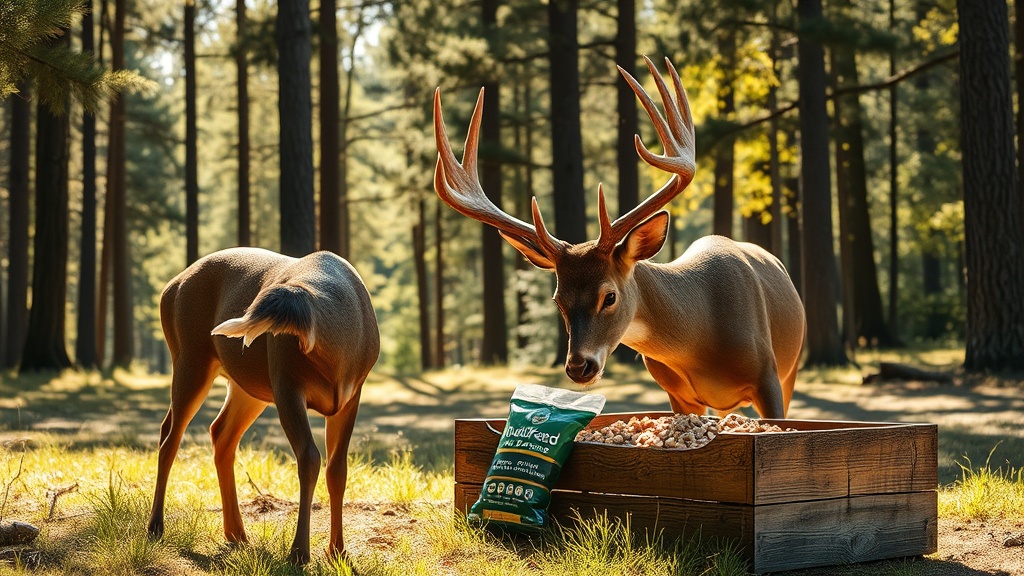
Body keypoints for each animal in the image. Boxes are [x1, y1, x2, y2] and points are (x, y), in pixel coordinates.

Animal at [146, 247, 380, 564]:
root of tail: (170, 287)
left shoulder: (351, 395)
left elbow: (337, 469)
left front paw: (338, 552)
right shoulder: (286, 384)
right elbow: (309, 458)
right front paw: (299, 552)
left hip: (249, 387)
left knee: (218, 433)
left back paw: (236, 533)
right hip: (190, 357)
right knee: (171, 436)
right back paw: (156, 527)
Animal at [433, 56, 804, 419]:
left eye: (609, 297)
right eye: (558, 300)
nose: (578, 367)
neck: (703, 333)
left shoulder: (769, 377)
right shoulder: (679, 395)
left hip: (791, 369)